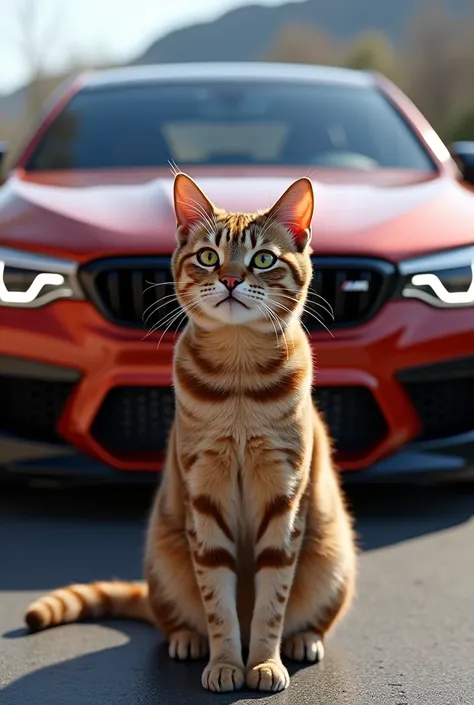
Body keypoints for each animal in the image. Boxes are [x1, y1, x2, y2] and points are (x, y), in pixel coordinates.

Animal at [23, 172, 356, 692]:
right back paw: (189, 640)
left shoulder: (284, 494)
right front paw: (225, 664)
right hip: (163, 557)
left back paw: (303, 640)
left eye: (263, 259)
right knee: (174, 618)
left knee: (310, 617)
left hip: (333, 556)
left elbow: (271, 603)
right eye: (208, 257)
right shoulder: (205, 492)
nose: (231, 279)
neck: (240, 380)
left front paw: (263, 663)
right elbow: (218, 602)